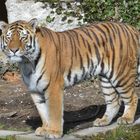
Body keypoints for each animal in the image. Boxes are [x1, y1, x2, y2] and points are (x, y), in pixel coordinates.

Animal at [0, 18, 139, 139]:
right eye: (9, 37)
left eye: (23, 37)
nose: (13, 50)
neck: (27, 63)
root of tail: (130, 28)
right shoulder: (35, 90)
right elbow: (43, 112)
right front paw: (45, 129)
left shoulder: (53, 87)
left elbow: (54, 112)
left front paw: (54, 132)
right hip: (106, 79)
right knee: (114, 101)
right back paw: (103, 121)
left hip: (121, 74)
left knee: (132, 97)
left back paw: (126, 119)